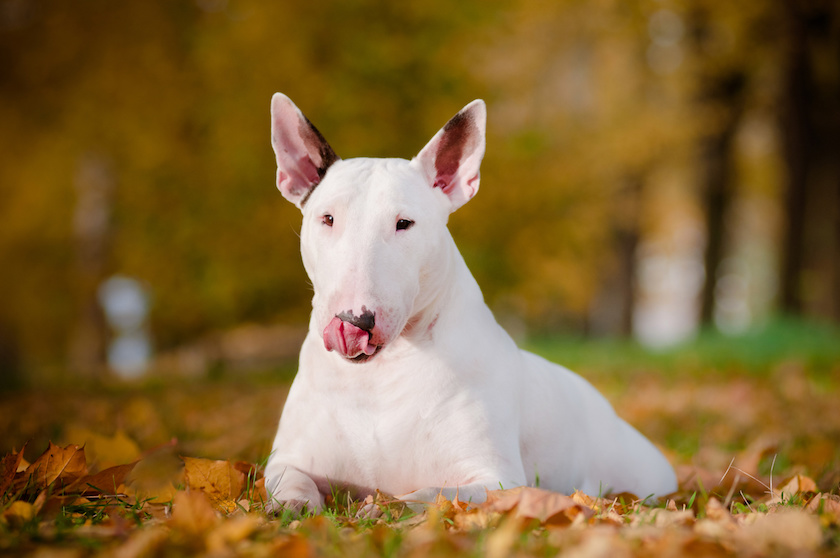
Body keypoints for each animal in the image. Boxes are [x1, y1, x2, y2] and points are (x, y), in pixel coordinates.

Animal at [266, 94, 680, 516]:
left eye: (404, 223)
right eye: (328, 218)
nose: (354, 319)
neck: (377, 378)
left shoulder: (495, 478)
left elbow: (431, 494)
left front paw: (387, 507)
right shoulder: (288, 459)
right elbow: (290, 480)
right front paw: (291, 507)